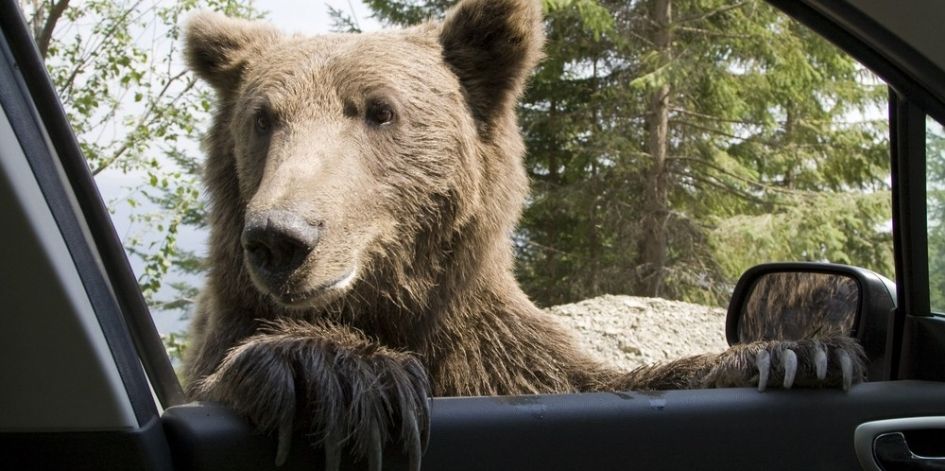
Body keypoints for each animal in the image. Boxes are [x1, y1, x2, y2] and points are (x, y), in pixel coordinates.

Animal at [181, 0, 866, 469]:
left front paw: (793, 353)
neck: (389, 306)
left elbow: (599, 380)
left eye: (379, 110)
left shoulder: (494, 353)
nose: (281, 237)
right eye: (263, 118)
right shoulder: (231, 328)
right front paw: (339, 372)